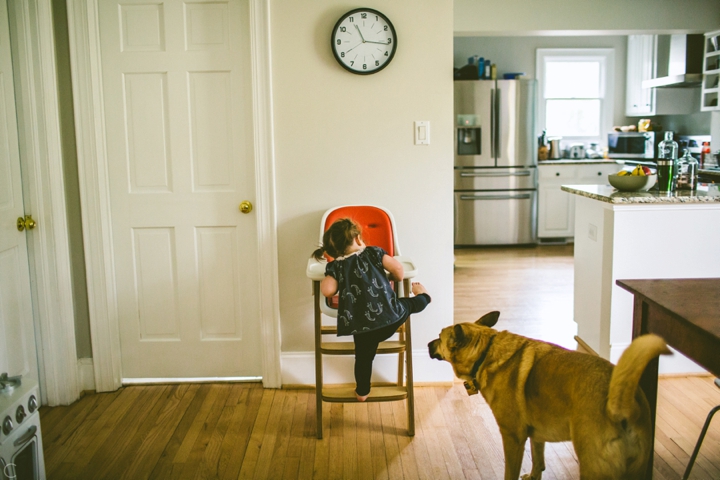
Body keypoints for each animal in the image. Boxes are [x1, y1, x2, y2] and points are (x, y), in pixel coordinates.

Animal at [428, 310, 668, 478]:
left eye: (439, 337)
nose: (428, 343)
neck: (485, 352)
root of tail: (623, 404)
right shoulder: (536, 433)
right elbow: (538, 459)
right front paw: (534, 475)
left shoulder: (513, 437)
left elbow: (510, 472)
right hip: (636, 468)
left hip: (594, 467)